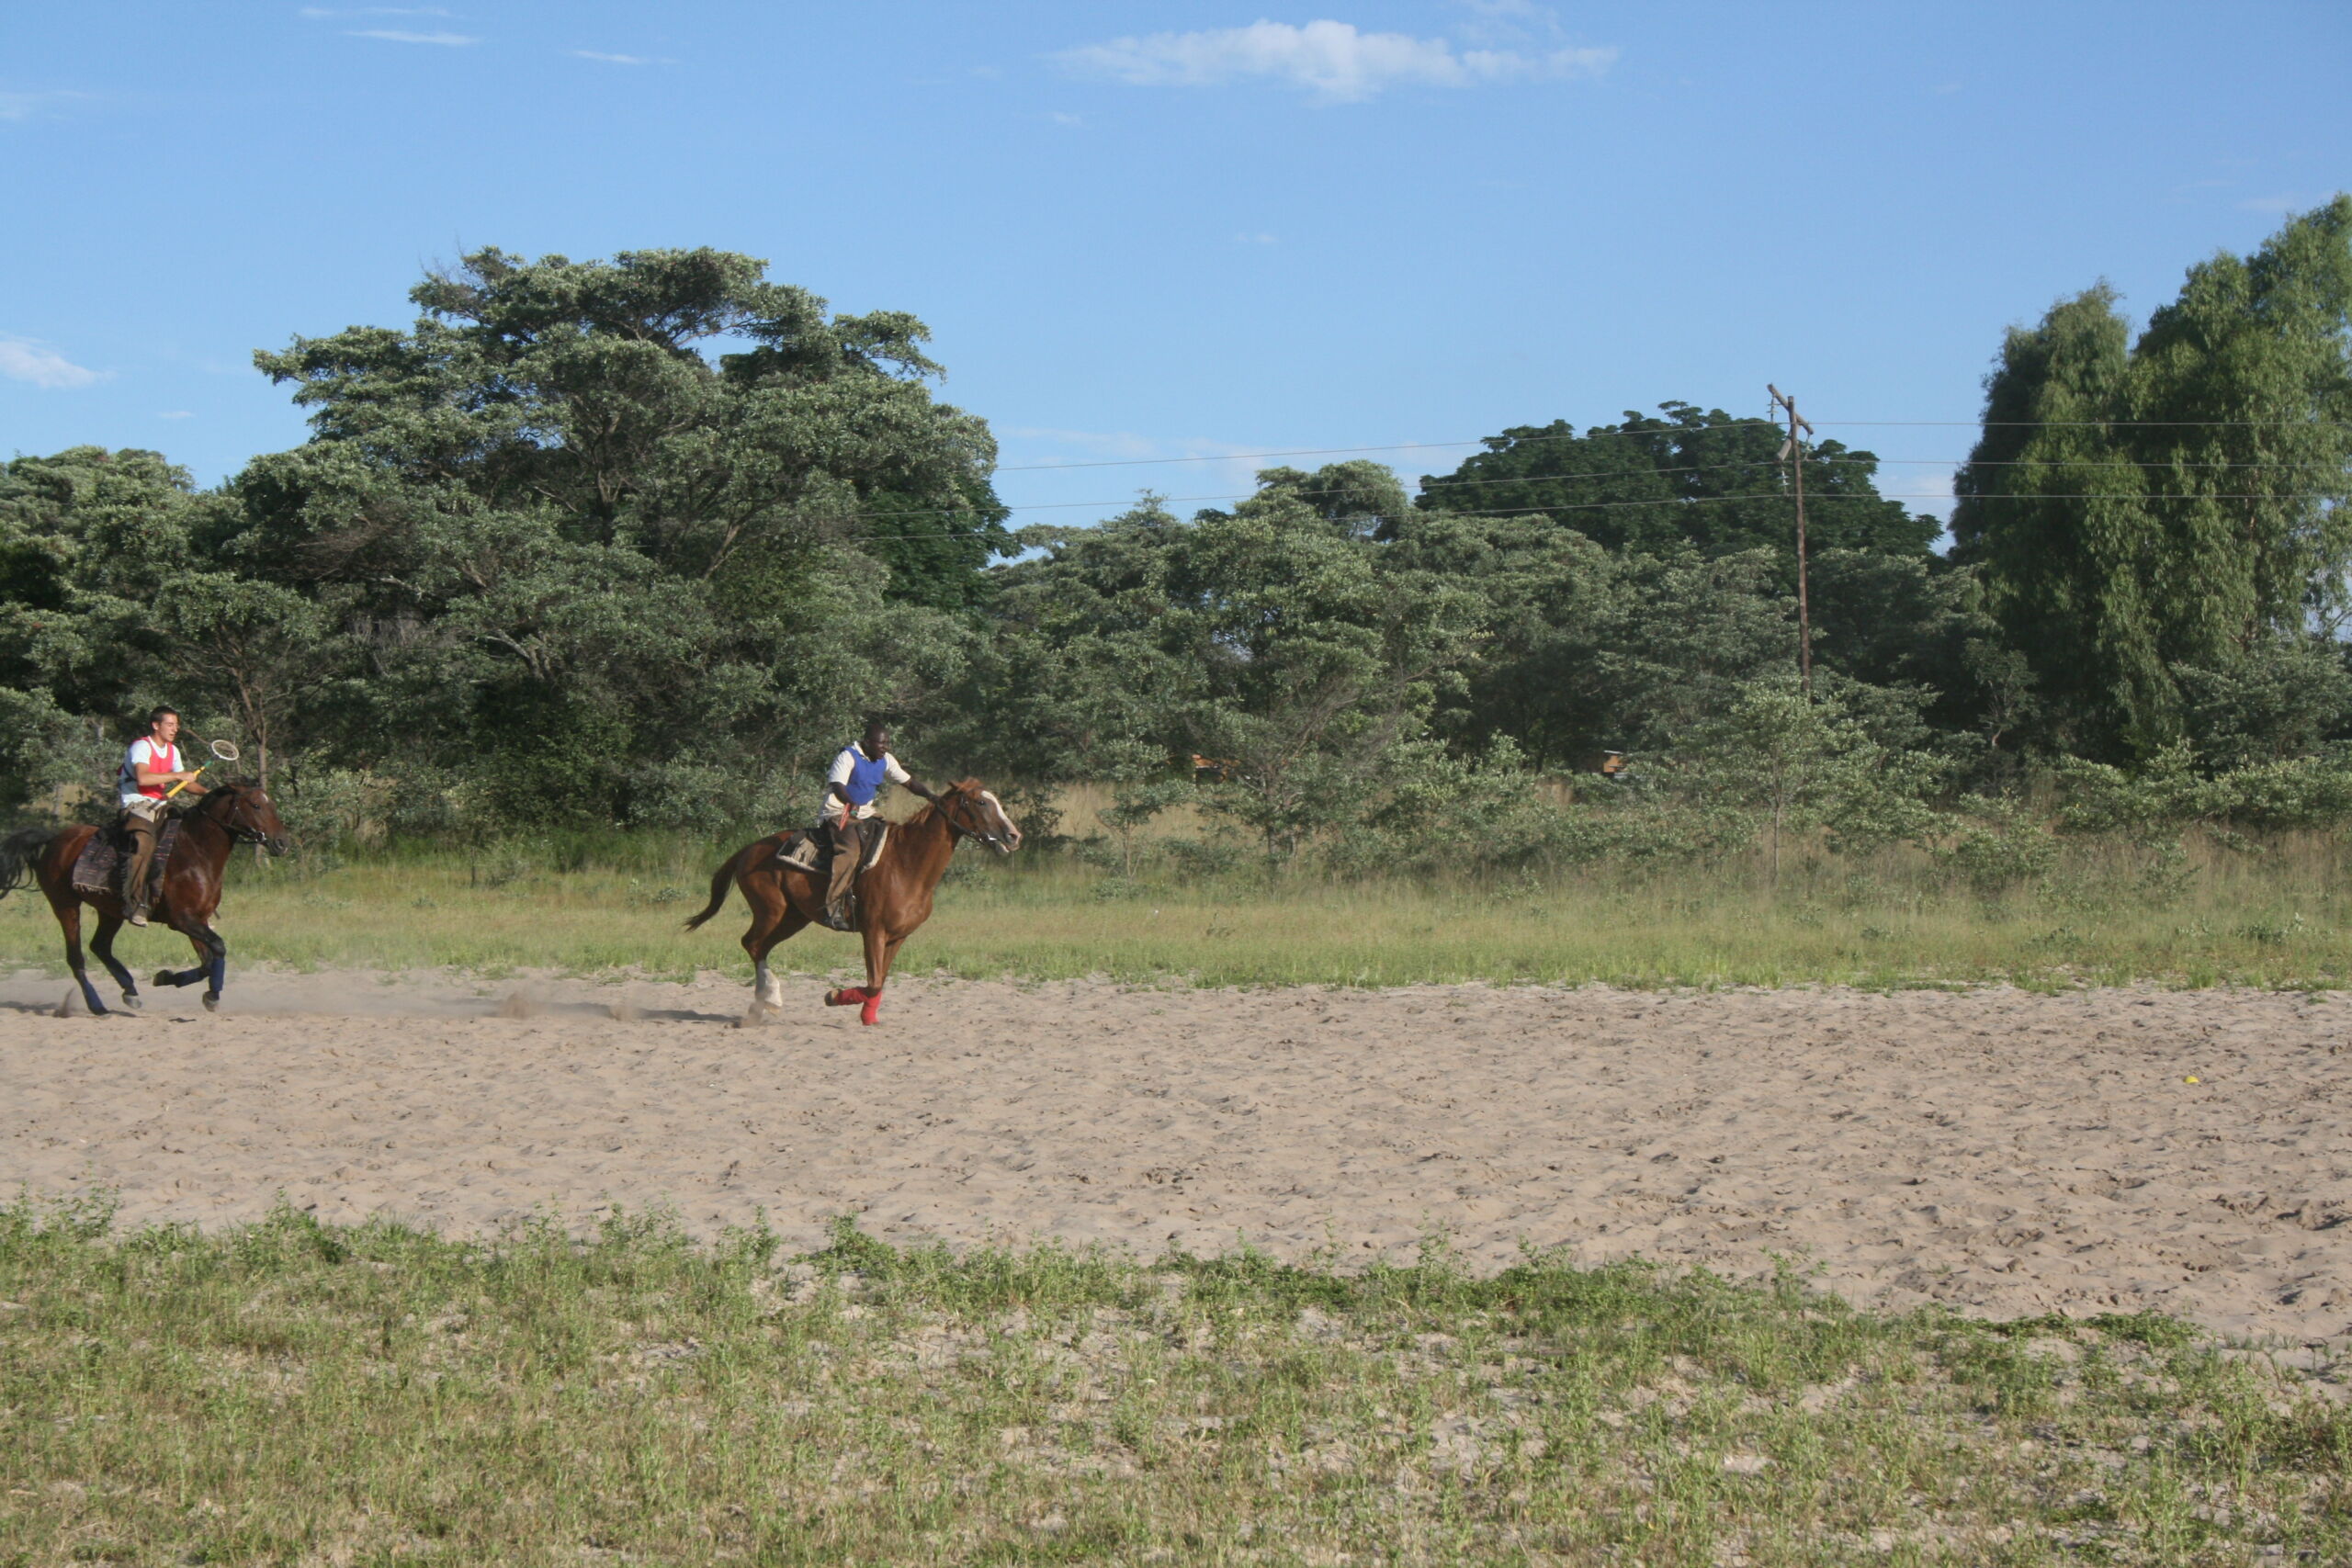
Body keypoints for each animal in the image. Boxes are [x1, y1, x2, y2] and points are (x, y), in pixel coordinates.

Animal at [0, 780, 290, 1020]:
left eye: (272, 804)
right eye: (255, 805)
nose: (282, 843)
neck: (196, 852)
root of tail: (53, 839)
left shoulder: (198, 919)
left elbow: (209, 959)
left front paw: (192, 988)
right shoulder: (182, 920)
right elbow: (218, 948)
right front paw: (186, 985)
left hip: (111, 911)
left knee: (100, 947)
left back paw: (130, 991)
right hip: (65, 905)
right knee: (76, 957)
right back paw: (98, 1006)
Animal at [677, 780, 1015, 1024]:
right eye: (982, 802)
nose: (1013, 836)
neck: (907, 864)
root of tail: (749, 850)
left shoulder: (898, 937)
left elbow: (880, 981)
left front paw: (868, 1017)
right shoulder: (873, 932)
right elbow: (874, 981)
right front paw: (834, 996)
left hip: (794, 917)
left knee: (761, 946)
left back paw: (762, 1006)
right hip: (771, 910)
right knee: (752, 943)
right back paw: (769, 999)